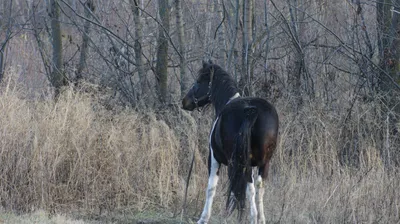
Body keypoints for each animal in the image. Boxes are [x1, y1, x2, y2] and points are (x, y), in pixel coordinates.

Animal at [183, 61, 280, 224]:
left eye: (199, 81)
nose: (185, 102)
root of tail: (251, 110)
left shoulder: (214, 158)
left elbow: (212, 188)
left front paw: (204, 218)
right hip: (264, 162)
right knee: (258, 188)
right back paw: (259, 219)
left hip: (242, 163)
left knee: (248, 188)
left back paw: (251, 218)